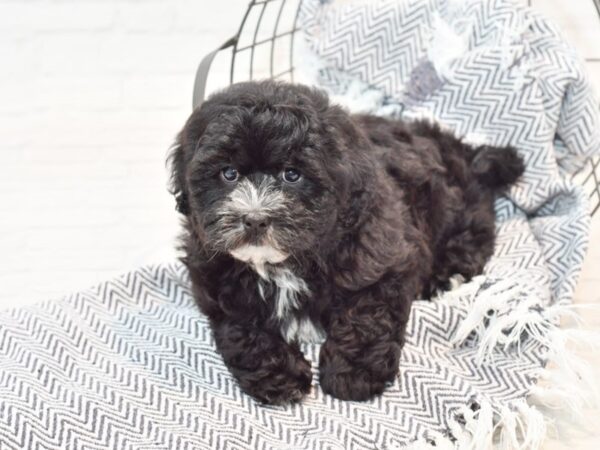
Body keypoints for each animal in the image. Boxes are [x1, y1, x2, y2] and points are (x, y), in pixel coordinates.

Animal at [166, 79, 524, 402]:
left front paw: (354, 374)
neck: (284, 262)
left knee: (476, 227)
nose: (255, 218)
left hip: (454, 203)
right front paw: (279, 376)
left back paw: (449, 272)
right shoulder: (217, 281)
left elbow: (367, 316)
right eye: (229, 174)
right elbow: (243, 327)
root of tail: (463, 149)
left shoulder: (384, 257)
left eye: (292, 175)